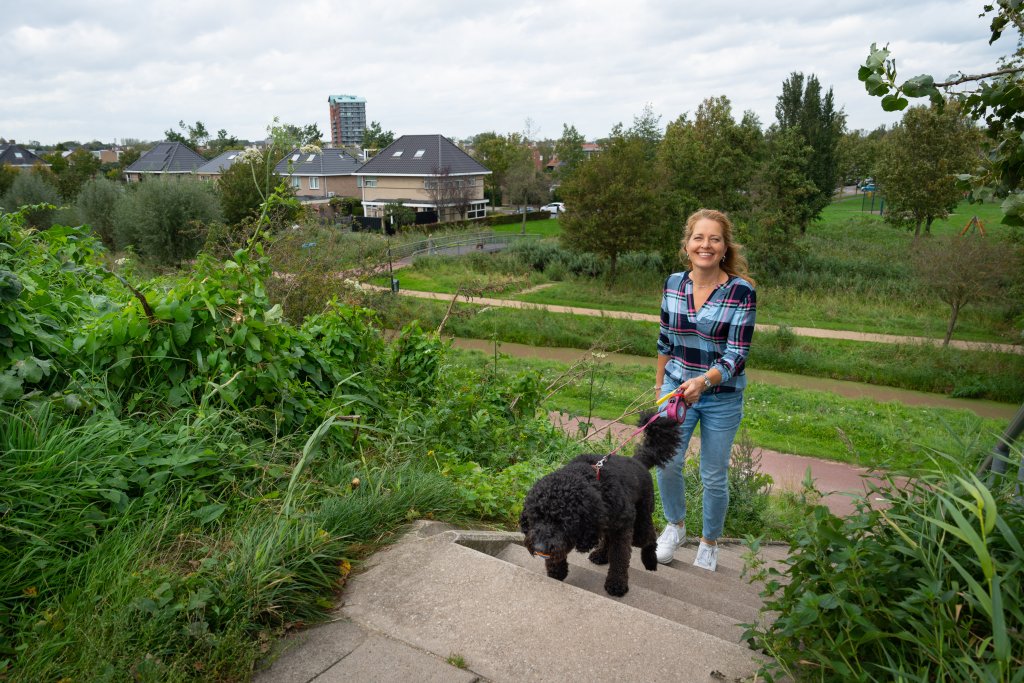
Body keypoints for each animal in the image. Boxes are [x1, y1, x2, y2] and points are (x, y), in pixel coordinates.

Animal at [520, 411, 679, 598]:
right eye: (535, 517)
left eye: (564, 523)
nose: (539, 547)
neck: (590, 480)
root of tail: (639, 461)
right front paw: (556, 570)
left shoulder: (622, 528)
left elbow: (619, 557)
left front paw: (617, 584)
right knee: (609, 538)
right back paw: (601, 555)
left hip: (640, 519)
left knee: (649, 537)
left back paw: (650, 560)